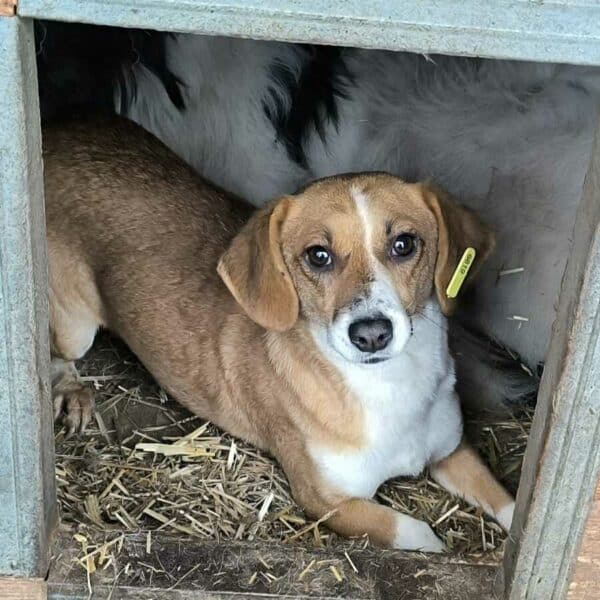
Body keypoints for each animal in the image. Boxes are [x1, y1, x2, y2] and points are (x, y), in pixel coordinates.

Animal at [47, 118, 516, 552]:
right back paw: (74, 394)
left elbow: (509, 504)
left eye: (404, 244)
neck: (389, 388)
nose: (370, 334)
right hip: (76, 328)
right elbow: (421, 534)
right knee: (56, 354)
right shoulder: (329, 502)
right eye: (318, 256)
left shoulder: (453, 451)